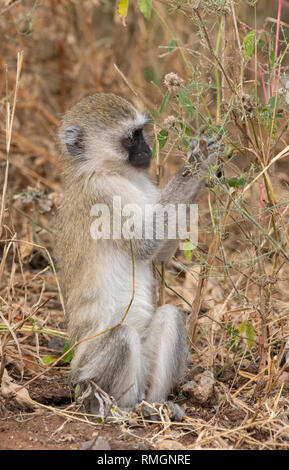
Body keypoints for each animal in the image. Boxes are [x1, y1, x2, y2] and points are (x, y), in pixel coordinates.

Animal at [54, 92, 220, 412]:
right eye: (131, 138)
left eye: (142, 132)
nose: (147, 149)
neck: (111, 170)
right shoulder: (104, 193)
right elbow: (144, 244)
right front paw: (197, 162)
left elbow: (160, 254)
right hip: (87, 375)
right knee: (121, 337)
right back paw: (122, 410)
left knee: (170, 317)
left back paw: (157, 406)